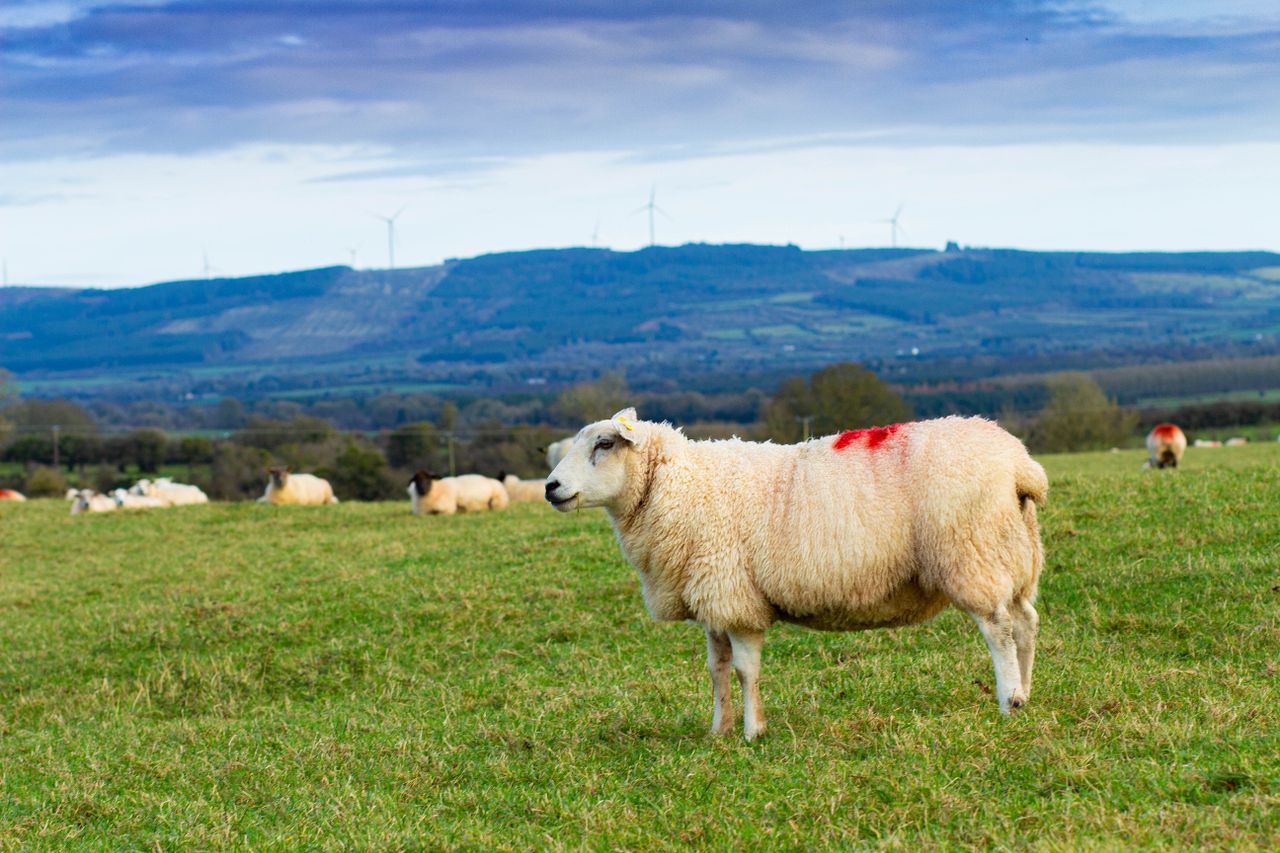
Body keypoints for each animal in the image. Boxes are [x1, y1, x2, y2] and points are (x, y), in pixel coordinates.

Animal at [545, 408, 1048, 740]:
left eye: (604, 444)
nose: (550, 487)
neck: (680, 486)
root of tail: (1020, 464)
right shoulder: (713, 596)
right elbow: (717, 669)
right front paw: (718, 730)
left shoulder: (736, 597)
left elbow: (745, 670)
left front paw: (753, 732)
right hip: (1016, 554)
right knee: (1025, 622)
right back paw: (1026, 693)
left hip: (973, 553)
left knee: (999, 629)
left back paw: (1009, 700)